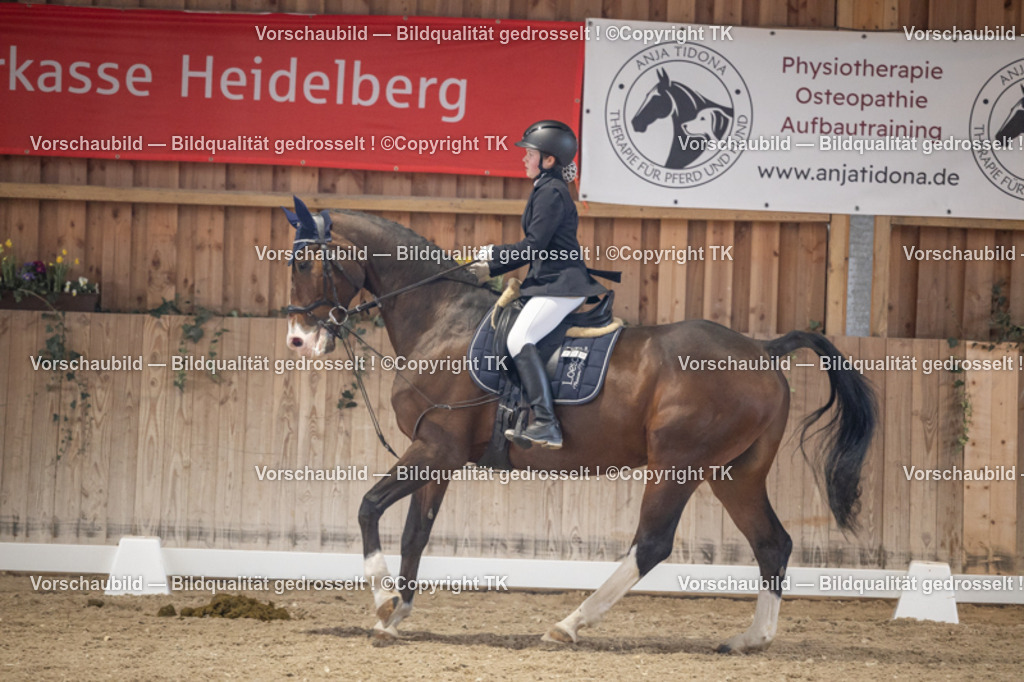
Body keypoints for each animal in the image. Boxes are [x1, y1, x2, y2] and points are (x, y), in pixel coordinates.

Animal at [283, 203, 877, 652]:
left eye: (307, 263)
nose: (299, 341)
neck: (441, 318)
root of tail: (760, 349)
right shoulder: (440, 455)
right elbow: (415, 533)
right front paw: (395, 615)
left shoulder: (435, 449)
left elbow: (368, 507)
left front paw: (383, 600)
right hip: (735, 473)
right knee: (772, 544)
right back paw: (750, 639)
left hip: (678, 466)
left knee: (652, 545)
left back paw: (568, 625)